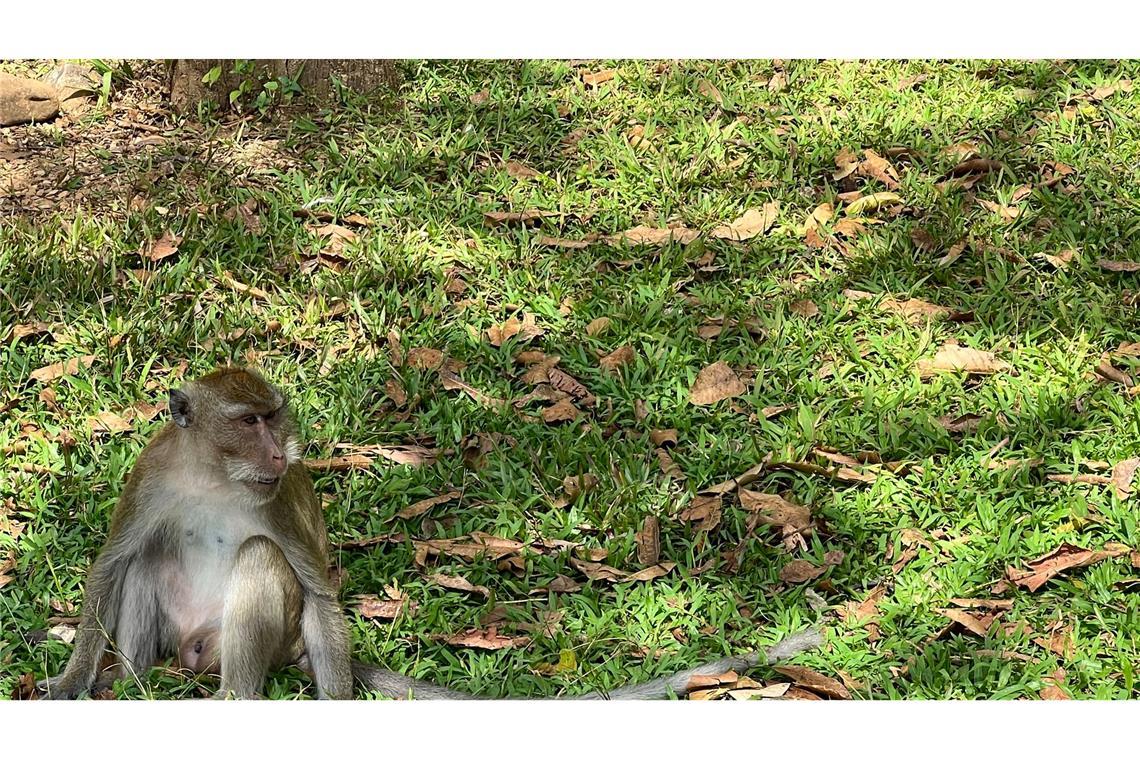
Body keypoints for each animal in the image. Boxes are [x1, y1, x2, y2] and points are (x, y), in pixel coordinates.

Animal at [37, 367, 821, 700]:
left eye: (272, 417)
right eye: (249, 420)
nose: (281, 452)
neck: (213, 477)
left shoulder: (273, 502)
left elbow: (315, 585)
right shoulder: (152, 476)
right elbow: (112, 563)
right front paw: (70, 682)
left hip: (258, 641)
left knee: (262, 564)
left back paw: (236, 698)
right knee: (147, 560)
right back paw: (132, 683)